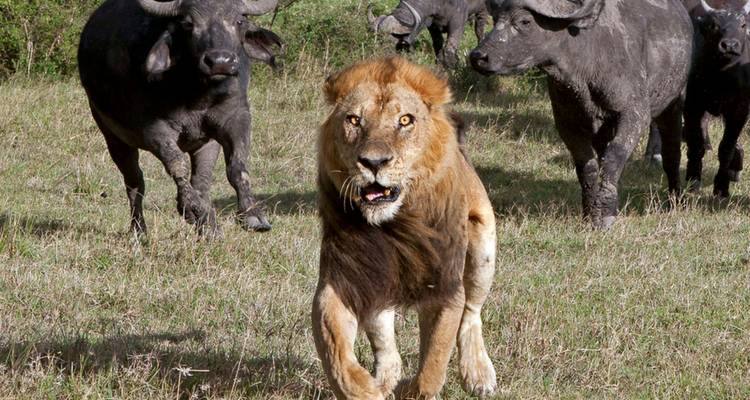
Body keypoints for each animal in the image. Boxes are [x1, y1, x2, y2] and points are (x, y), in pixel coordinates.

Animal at [312, 57, 498, 400]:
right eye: (354, 120)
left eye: (405, 120)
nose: (373, 162)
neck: (395, 227)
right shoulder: (344, 279)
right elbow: (337, 354)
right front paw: (366, 391)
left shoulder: (444, 286)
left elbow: (434, 361)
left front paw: (416, 389)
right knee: (385, 340)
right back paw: (385, 379)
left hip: (483, 248)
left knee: (472, 313)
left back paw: (479, 374)